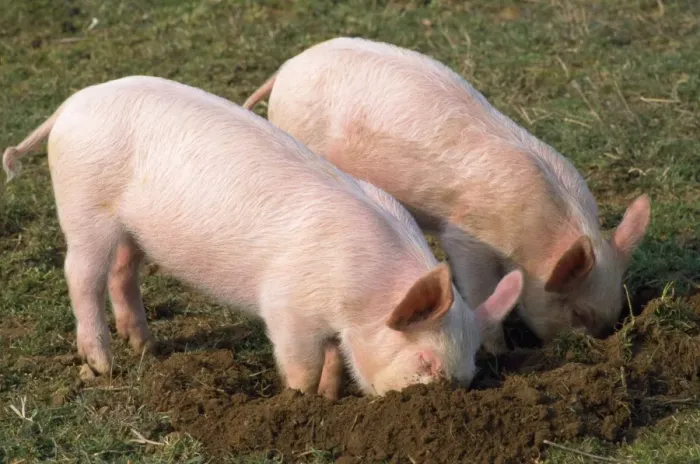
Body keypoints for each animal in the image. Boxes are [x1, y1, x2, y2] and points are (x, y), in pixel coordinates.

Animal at [2, 75, 524, 398]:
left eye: (469, 370)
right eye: (425, 360)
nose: (436, 399)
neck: (364, 291)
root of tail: (69, 107)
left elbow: (334, 358)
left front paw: (331, 395)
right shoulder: (287, 309)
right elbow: (300, 364)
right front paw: (302, 400)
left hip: (130, 227)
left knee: (122, 271)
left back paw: (146, 348)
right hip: (83, 206)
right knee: (80, 276)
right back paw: (103, 365)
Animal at [243, 37, 652, 352]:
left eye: (615, 311)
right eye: (577, 312)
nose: (591, 346)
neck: (539, 237)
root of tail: (286, 69)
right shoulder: (466, 236)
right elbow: (480, 290)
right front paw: (500, 353)